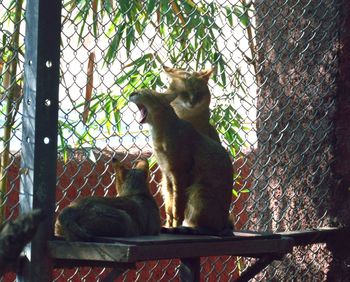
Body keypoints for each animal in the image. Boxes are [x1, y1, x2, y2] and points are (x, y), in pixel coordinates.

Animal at [129, 89, 232, 232]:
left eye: (142, 92)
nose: (131, 94)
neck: (159, 134)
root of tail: (224, 224)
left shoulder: (180, 174)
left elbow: (177, 207)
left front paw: (174, 226)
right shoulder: (167, 175)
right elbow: (169, 206)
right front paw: (168, 225)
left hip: (198, 189)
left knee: (209, 228)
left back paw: (188, 228)